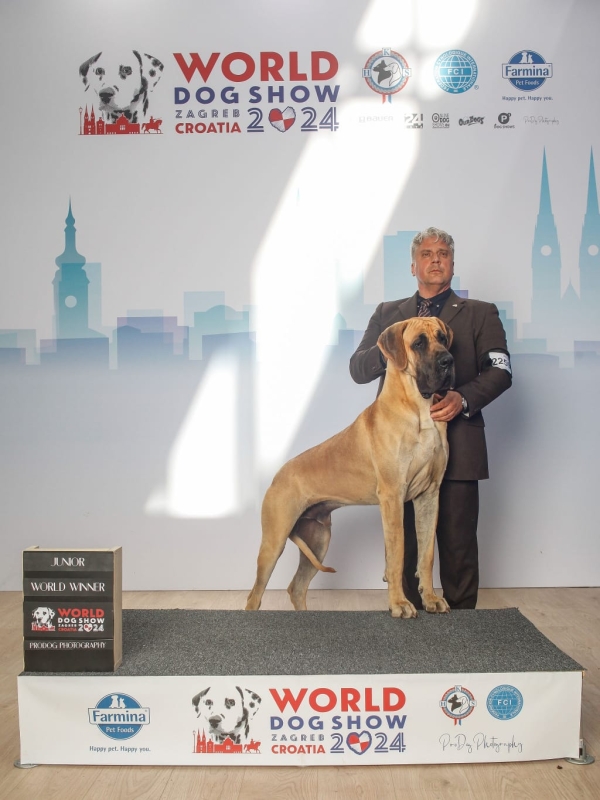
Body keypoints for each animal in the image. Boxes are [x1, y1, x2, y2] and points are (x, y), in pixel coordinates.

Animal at [245, 318, 454, 620]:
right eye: (418, 343)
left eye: (443, 338)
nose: (449, 361)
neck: (419, 409)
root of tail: (276, 476)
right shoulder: (392, 496)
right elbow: (397, 554)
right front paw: (400, 603)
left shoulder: (429, 495)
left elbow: (426, 555)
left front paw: (431, 600)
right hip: (275, 541)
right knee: (255, 595)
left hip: (318, 539)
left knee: (296, 587)